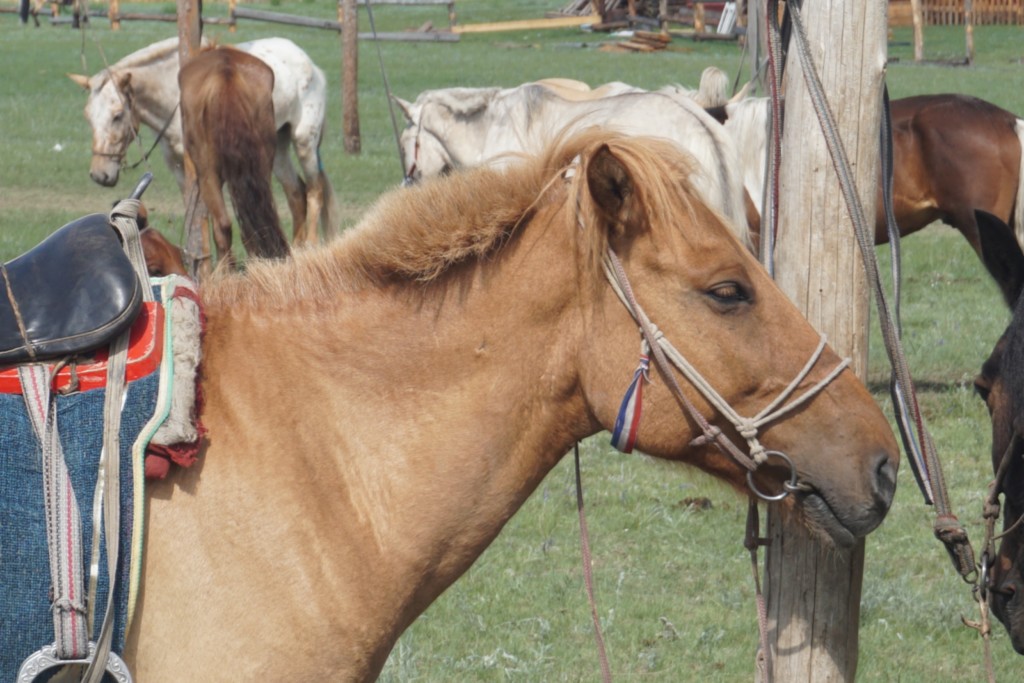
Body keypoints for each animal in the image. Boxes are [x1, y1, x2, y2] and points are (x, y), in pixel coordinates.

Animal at [69, 35, 339, 242]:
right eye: (88, 116)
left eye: (117, 115)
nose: (100, 175)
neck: (174, 94)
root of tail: (309, 63)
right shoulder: (180, 168)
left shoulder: (203, 169)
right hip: (279, 148)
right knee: (296, 193)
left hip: (304, 142)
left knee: (315, 190)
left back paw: (311, 245)